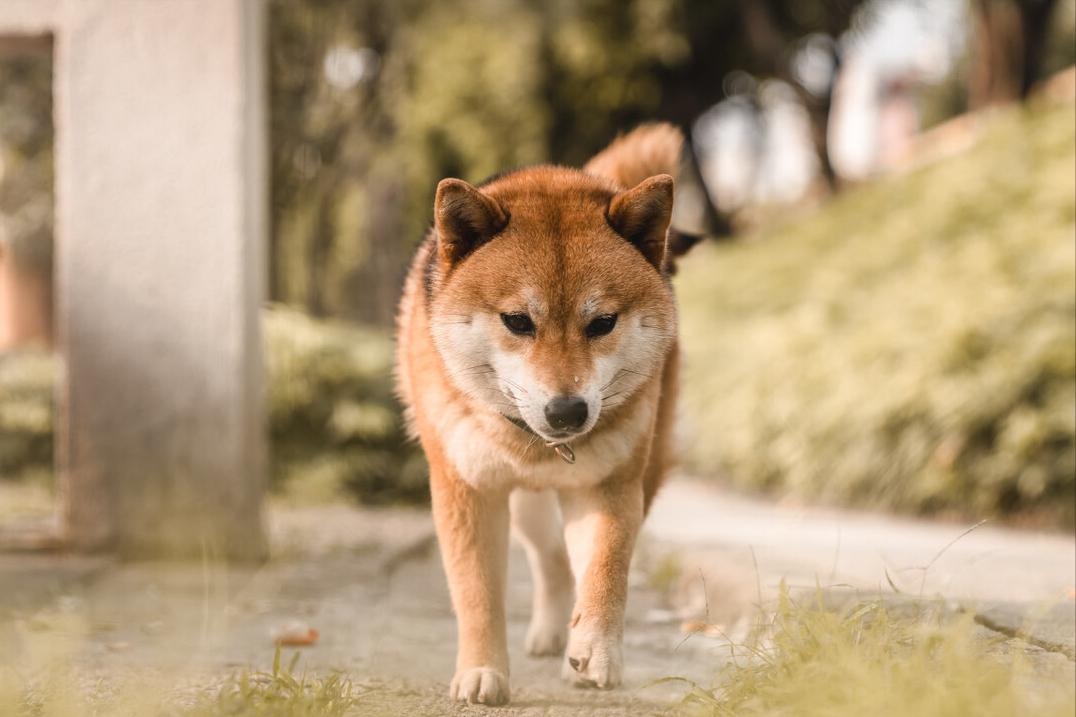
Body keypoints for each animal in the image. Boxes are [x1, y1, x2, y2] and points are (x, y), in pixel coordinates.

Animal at [400, 124, 692, 701]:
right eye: (517, 321)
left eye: (602, 323)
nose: (566, 411)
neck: (540, 447)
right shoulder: (468, 490)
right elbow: (477, 593)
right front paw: (482, 671)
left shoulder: (609, 486)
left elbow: (606, 569)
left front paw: (595, 649)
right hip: (526, 509)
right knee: (551, 561)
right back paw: (549, 634)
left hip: (636, 476)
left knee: (569, 565)